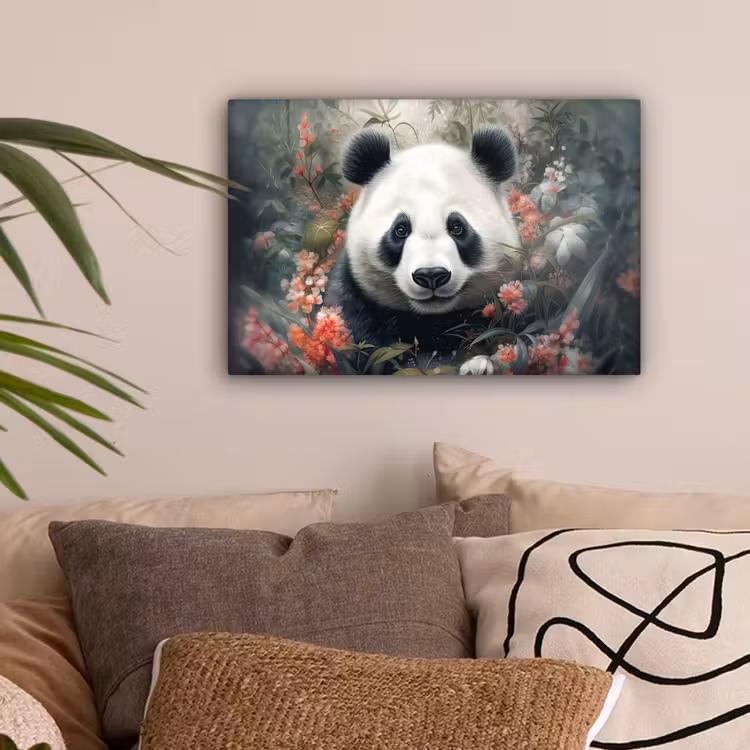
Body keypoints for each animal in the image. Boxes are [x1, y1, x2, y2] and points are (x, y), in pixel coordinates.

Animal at [330, 126, 519, 374]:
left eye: (457, 227)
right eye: (400, 230)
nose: (431, 275)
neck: (432, 323)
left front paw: (477, 364)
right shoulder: (355, 307)